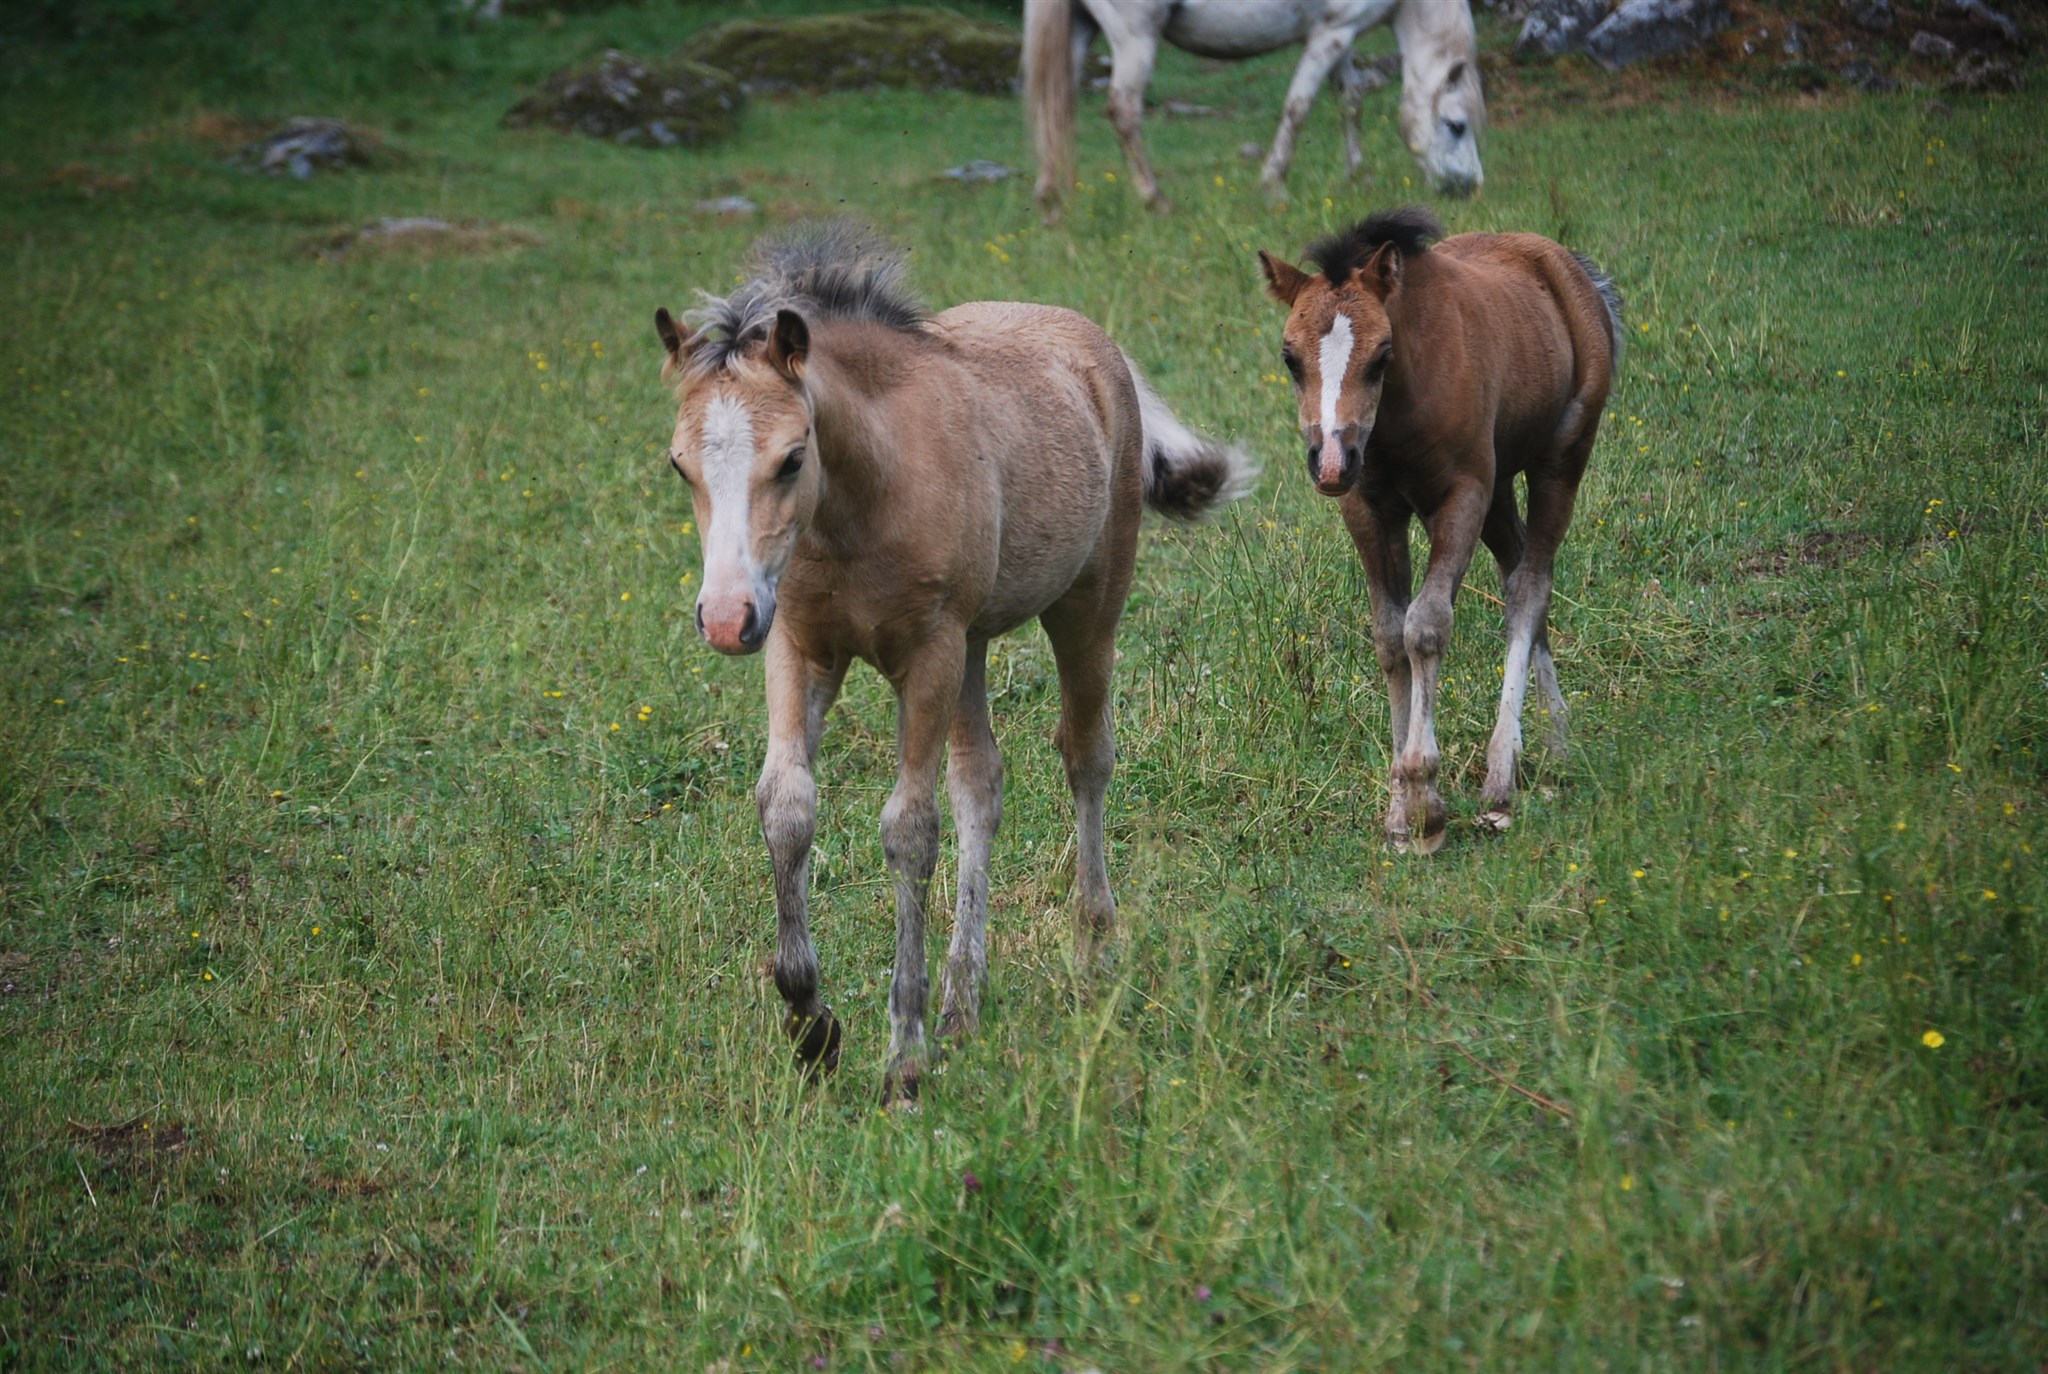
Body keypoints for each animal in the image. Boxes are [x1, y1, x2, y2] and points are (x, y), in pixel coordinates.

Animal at [654, 223, 1252, 1101]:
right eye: (679, 464)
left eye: (793, 457)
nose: (726, 620)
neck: (858, 506)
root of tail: (1090, 338)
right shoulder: (801, 647)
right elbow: (788, 804)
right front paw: (810, 1022)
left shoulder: (927, 655)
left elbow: (909, 829)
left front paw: (903, 1052)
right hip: (972, 645)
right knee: (983, 782)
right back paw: (963, 1002)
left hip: (1084, 609)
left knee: (1086, 755)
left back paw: (1091, 946)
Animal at [1025, 0, 1485, 217]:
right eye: (1456, 125)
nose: (1469, 188)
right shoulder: (1331, 34)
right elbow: (1299, 107)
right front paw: (1273, 185)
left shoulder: (1342, 37)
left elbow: (1350, 100)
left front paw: (1358, 176)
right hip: (1134, 36)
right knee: (1123, 110)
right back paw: (1157, 201)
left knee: (1053, 107)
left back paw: (1051, 205)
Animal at [1256, 208, 1621, 852]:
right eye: (1289, 357)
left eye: (1381, 356)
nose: (1331, 463)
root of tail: (1573, 268)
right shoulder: (1370, 508)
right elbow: (1388, 636)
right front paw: (1400, 813)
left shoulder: (1461, 496)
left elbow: (1424, 628)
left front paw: (1425, 800)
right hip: (1499, 489)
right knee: (1519, 572)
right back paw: (1550, 745)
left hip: (1560, 459)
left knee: (1531, 587)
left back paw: (1502, 780)